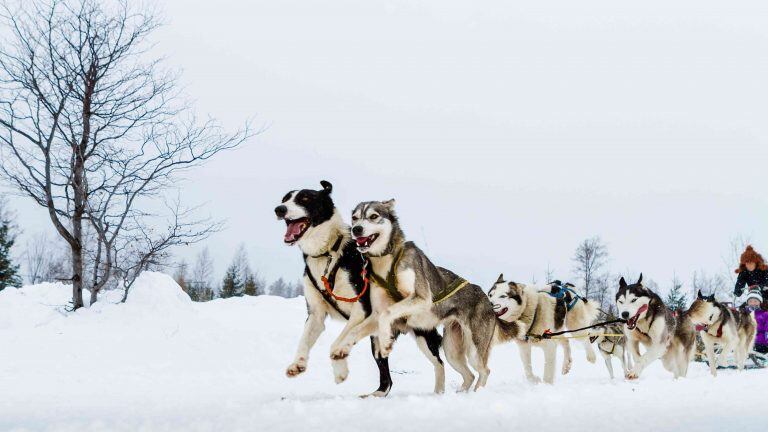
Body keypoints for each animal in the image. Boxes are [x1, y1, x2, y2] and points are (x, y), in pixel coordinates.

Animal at [272, 181, 440, 396]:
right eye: (285, 199)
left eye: (305, 199)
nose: (279, 209)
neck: (328, 253)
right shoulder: (316, 314)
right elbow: (304, 339)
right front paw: (298, 363)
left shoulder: (361, 309)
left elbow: (338, 341)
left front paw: (340, 370)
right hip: (376, 341)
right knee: (387, 377)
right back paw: (377, 394)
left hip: (421, 333)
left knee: (438, 362)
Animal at [344, 199, 496, 392]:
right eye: (354, 218)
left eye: (373, 216)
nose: (356, 229)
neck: (387, 262)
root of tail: (486, 297)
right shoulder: (378, 311)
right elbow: (365, 325)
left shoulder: (421, 298)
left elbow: (387, 313)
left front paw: (385, 342)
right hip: (451, 350)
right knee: (468, 374)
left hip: (473, 349)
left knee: (484, 371)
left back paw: (477, 393)